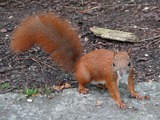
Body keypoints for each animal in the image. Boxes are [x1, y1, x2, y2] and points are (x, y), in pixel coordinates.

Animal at [10, 11, 145, 109]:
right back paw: (83, 88)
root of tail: (77, 64)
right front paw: (120, 102)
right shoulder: (110, 76)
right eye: (113, 64)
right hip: (85, 74)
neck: (121, 76)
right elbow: (113, 90)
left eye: (129, 63)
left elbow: (131, 86)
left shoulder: (130, 74)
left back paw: (101, 86)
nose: (121, 73)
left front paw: (136, 94)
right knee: (80, 81)